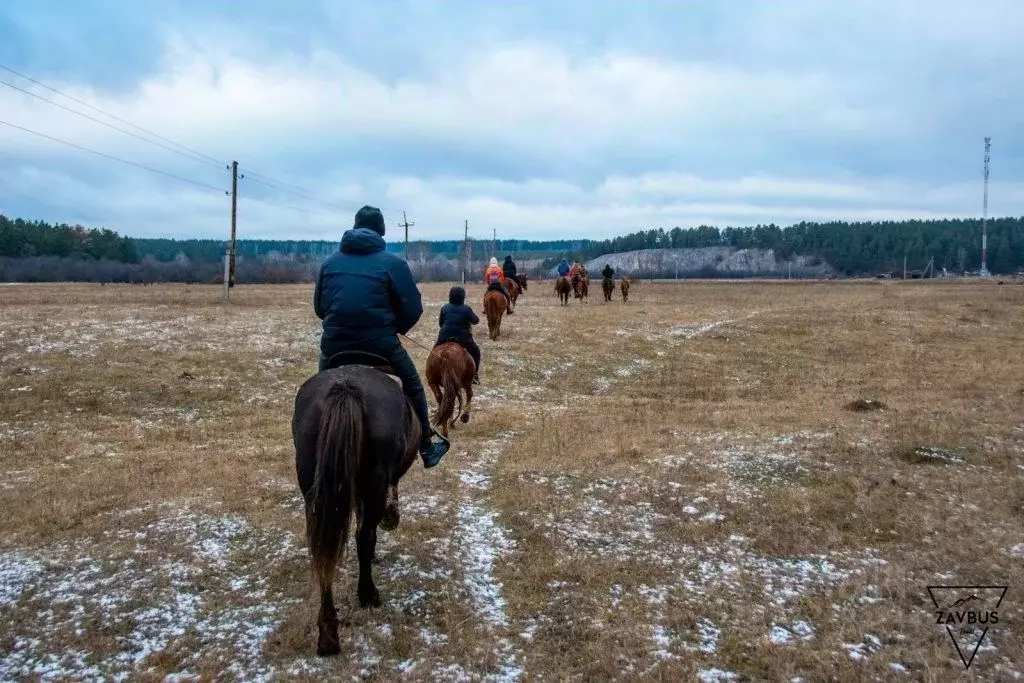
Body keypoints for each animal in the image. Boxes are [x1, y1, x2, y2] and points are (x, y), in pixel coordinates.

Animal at [292, 352, 419, 655]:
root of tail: (346, 387)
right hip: (375, 480)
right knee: (364, 537)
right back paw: (368, 594)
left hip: (315, 487)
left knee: (322, 548)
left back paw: (328, 634)